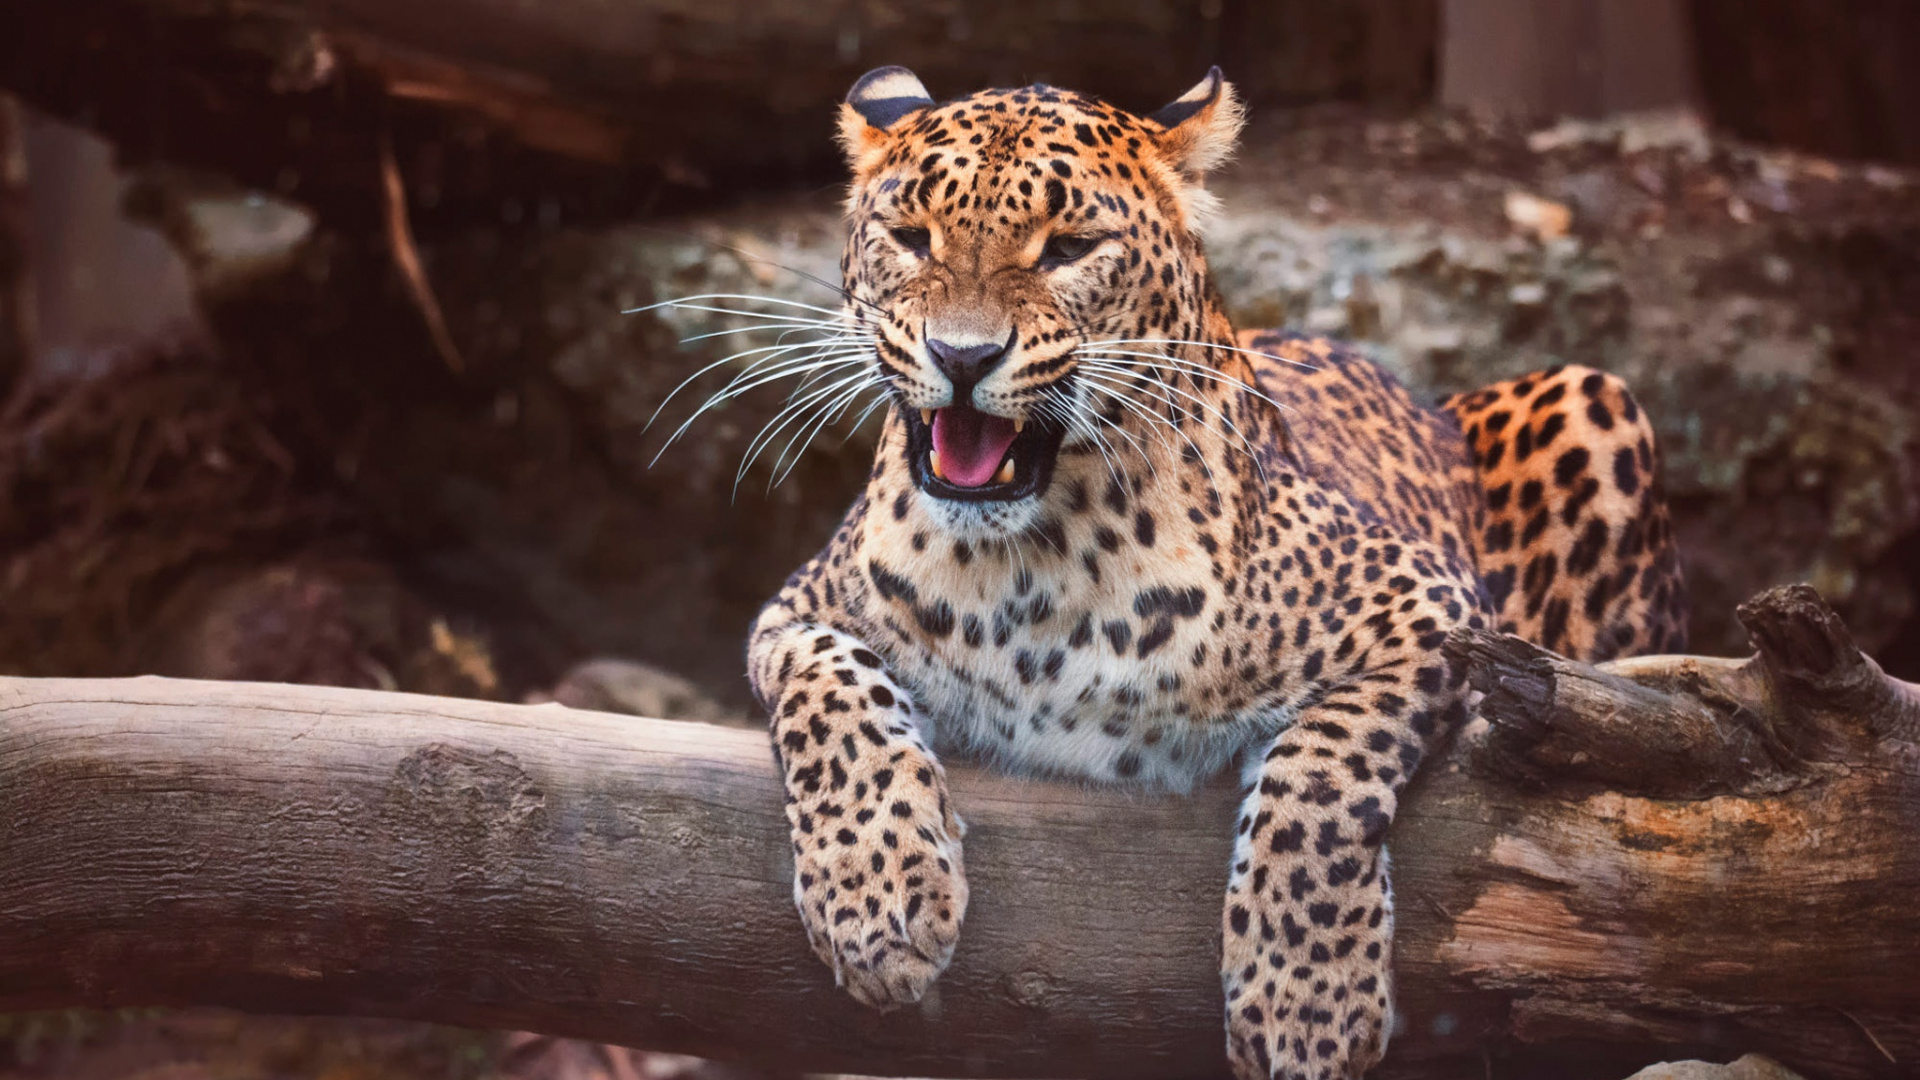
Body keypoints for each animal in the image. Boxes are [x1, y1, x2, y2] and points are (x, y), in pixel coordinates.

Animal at [739, 65, 1686, 1079]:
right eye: (912, 236)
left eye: (1068, 248)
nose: (961, 355)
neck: (1029, 568)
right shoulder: (794, 611)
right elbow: (834, 695)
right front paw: (879, 899)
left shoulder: (1430, 607)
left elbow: (1321, 774)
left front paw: (1306, 999)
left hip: (1594, 398)